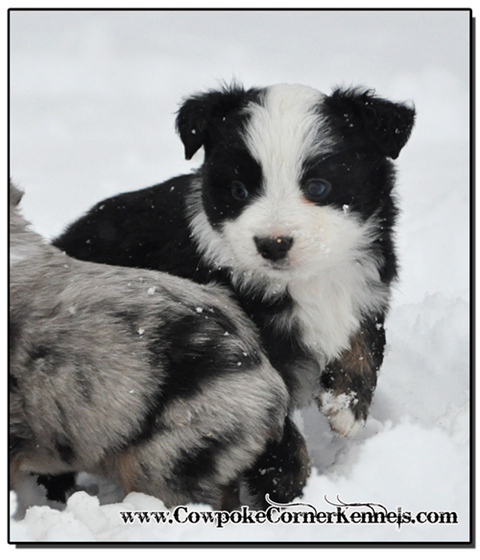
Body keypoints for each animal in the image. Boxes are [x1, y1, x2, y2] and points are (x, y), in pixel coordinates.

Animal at [51, 84, 412, 504]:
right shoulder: (239, 361)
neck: (300, 282)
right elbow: (280, 438)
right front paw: (286, 495)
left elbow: (365, 343)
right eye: (239, 191)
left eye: (317, 187)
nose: (272, 244)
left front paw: (346, 408)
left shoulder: (365, 286)